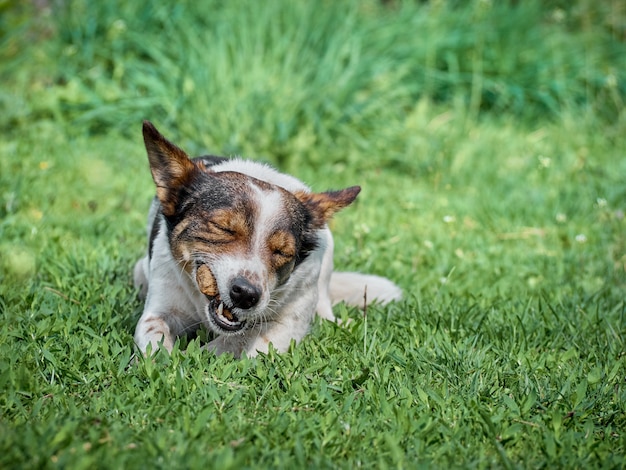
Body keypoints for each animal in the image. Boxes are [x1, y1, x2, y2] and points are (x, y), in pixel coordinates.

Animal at [134, 121, 402, 356]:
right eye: (222, 228)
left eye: (282, 252)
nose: (245, 294)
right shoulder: (160, 307)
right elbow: (152, 335)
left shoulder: (289, 323)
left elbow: (234, 343)